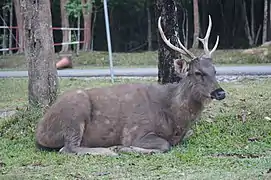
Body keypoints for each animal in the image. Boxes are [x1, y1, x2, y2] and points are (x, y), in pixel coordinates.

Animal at [36, 15, 227, 156]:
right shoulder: (136, 130)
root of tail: (40, 130)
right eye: (198, 72)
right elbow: (164, 145)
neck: (173, 117)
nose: (220, 92)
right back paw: (109, 151)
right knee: (67, 148)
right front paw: (121, 147)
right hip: (75, 113)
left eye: (215, 71)